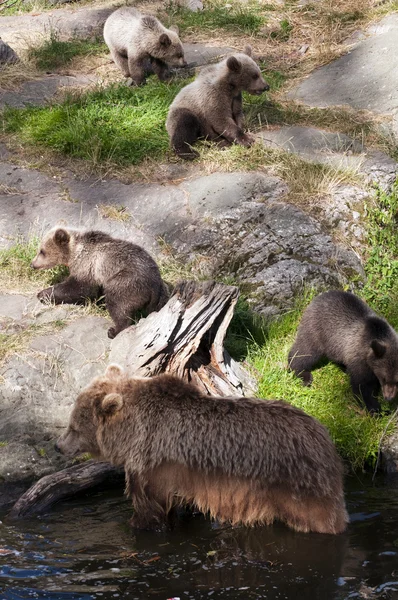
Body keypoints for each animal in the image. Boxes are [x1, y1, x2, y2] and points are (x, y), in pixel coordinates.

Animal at [31, 226, 168, 338]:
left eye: (42, 251)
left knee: (118, 303)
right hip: (160, 294)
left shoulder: (88, 266)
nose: (32, 264)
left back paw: (114, 330)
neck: (74, 253)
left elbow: (79, 288)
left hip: (126, 281)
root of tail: (155, 283)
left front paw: (43, 294)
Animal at [55, 366, 348, 536]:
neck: (132, 433)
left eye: (73, 426)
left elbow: (148, 507)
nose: (58, 445)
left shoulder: (153, 464)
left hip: (299, 483)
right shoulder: (181, 476)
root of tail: (324, 436)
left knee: (319, 518)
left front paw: (139, 524)